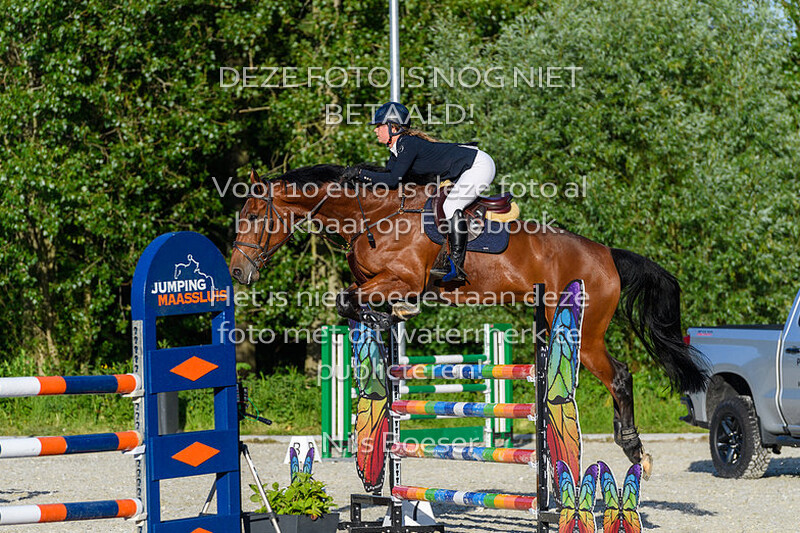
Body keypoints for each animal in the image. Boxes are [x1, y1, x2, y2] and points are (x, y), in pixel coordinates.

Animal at [229, 164, 709, 475]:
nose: (236, 271)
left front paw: (390, 316)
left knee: (620, 376)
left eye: (252, 216)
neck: (376, 216)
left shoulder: (403, 278)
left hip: (584, 333)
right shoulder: (374, 280)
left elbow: (350, 300)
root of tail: (607, 254)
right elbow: (350, 300)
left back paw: (633, 449)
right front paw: (388, 318)